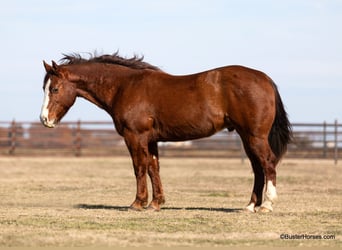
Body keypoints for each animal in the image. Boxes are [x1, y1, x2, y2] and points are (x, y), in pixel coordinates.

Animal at [40, 52, 292, 213]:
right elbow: (154, 168)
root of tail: (265, 78)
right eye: (45, 88)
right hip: (246, 137)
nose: (44, 120)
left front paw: (138, 203)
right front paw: (156, 203)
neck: (125, 86)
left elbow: (139, 168)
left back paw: (266, 205)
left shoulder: (135, 137)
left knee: (268, 163)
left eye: (55, 89)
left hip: (255, 136)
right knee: (257, 168)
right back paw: (250, 206)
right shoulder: (151, 140)